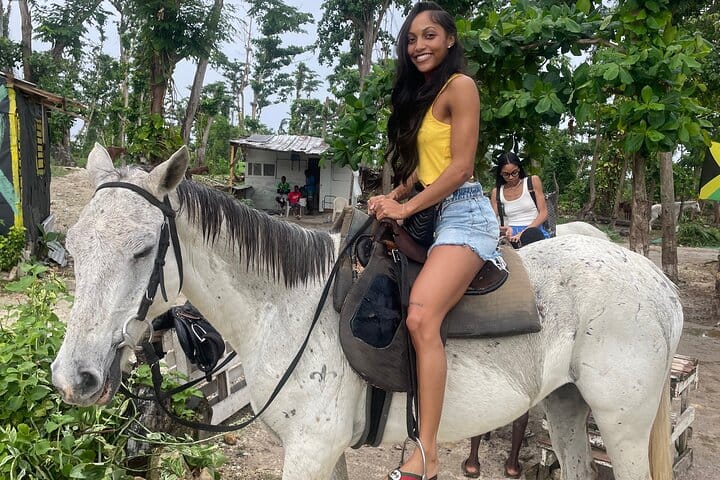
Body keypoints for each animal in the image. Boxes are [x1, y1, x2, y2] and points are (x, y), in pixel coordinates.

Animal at [51, 145, 682, 480]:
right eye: (76, 247)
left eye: (142, 250)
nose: (72, 377)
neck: (287, 308)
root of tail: (656, 283)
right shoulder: (325, 451)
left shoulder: (309, 451)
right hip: (567, 405)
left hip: (621, 425)